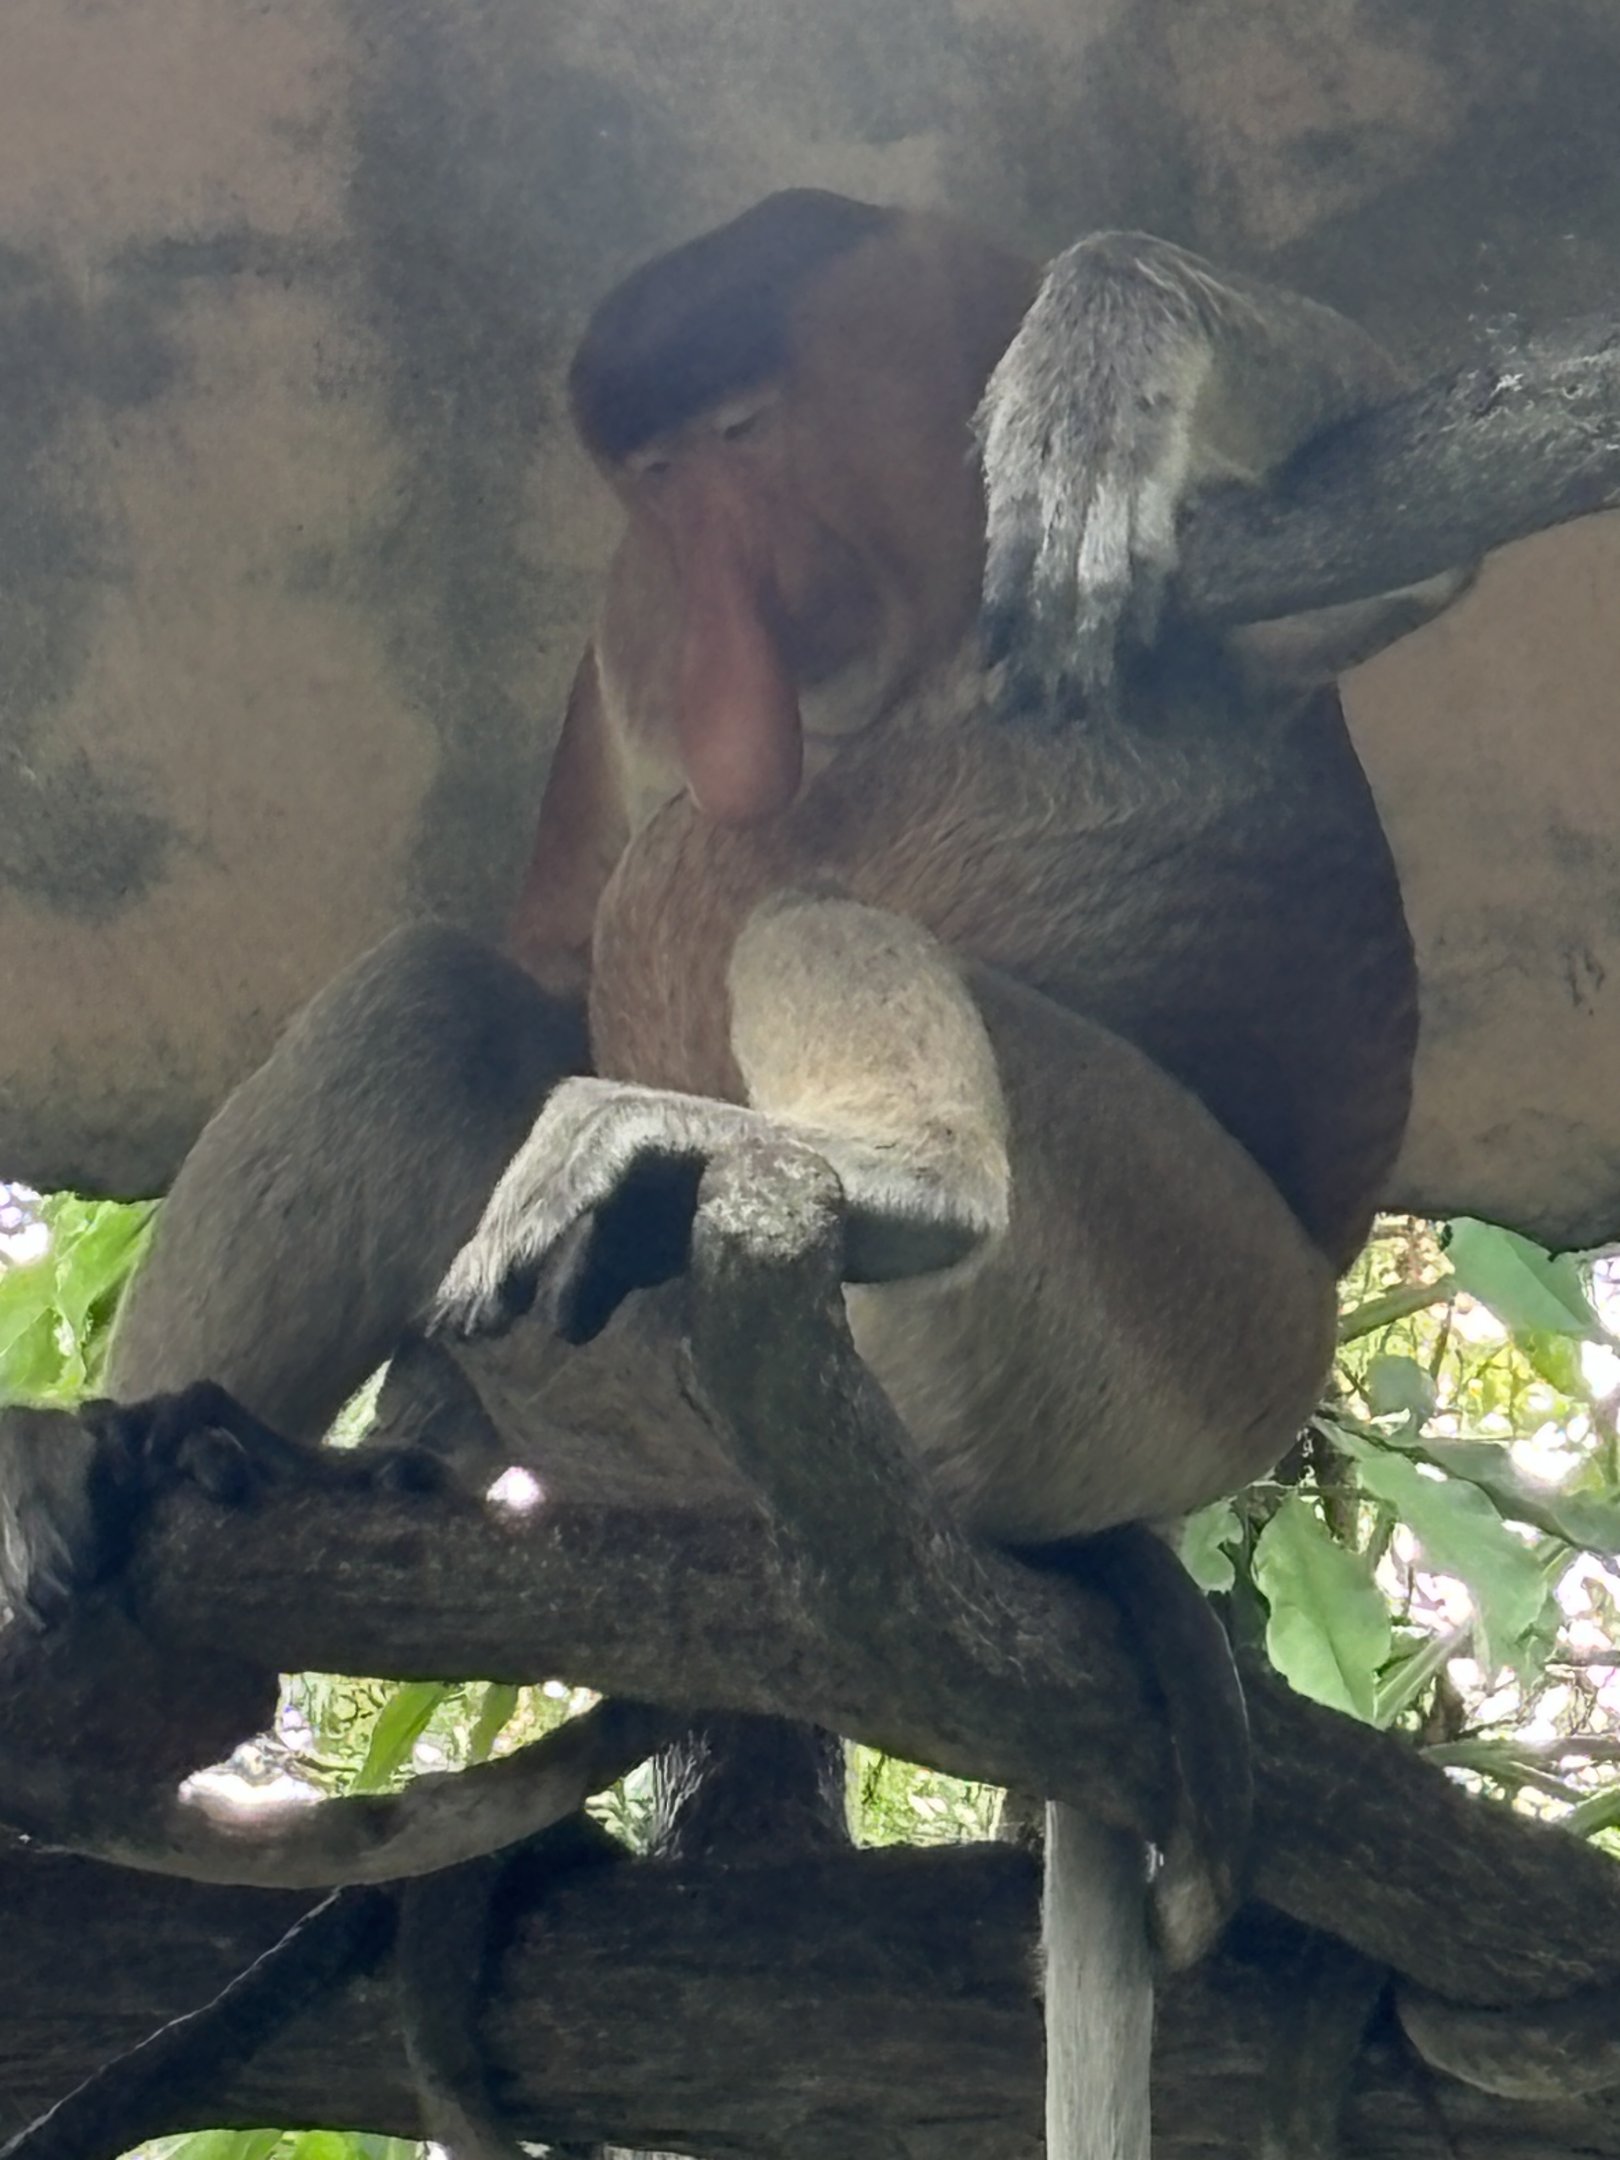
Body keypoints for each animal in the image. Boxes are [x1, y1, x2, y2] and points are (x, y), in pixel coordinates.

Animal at [0, 190, 1471, 2159]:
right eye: (654, 483)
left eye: (748, 438)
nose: (726, 650)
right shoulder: (624, 626)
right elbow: (552, 953)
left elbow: (1418, 519)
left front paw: (1102, 367)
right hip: (648, 1402)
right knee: (448, 1003)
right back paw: (136, 1513)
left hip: (1185, 1325)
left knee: (802, 924)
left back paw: (870, 1177)